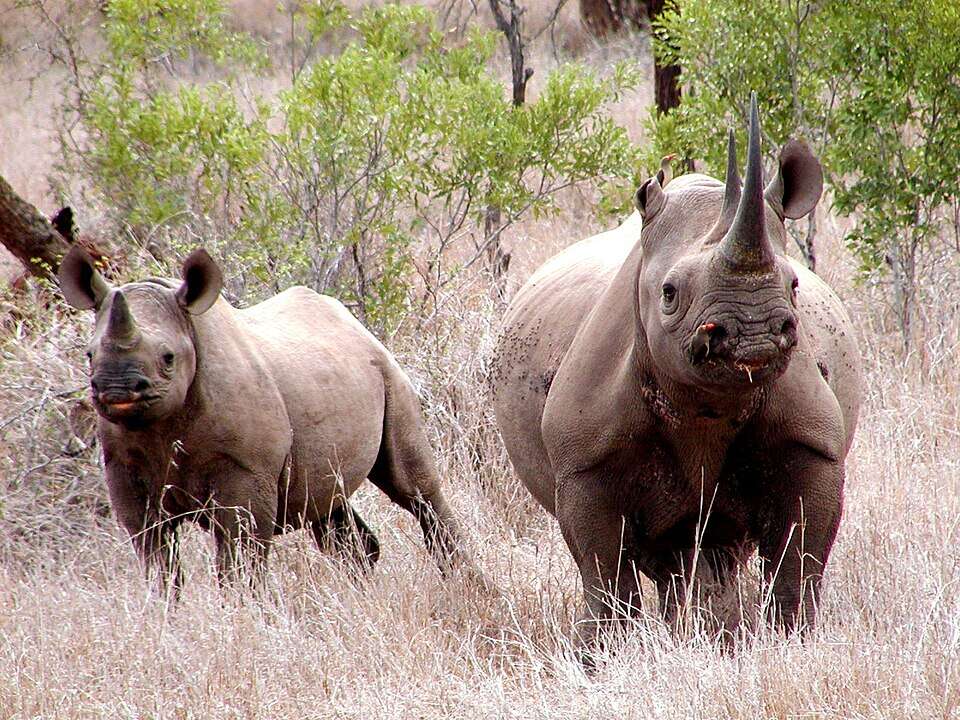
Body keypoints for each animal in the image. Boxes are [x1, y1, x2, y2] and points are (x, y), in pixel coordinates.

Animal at [59, 246, 469, 591]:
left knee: (415, 488)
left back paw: (463, 584)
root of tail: (355, 323)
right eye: (89, 355)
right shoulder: (124, 468)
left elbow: (240, 558)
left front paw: (241, 620)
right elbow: (157, 557)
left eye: (168, 358)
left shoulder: (246, 471)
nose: (115, 389)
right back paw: (361, 593)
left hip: (388, 372)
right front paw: (165, 617)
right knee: (327, 503)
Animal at [492, 95, 861, 646]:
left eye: (795, 284)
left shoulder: (814, 443)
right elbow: (604, 575)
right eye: (668, 293)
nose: (752, 332)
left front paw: (791, 642)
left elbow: (798, 565)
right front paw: (606, 653)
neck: (708, 407)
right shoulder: (583, 465)